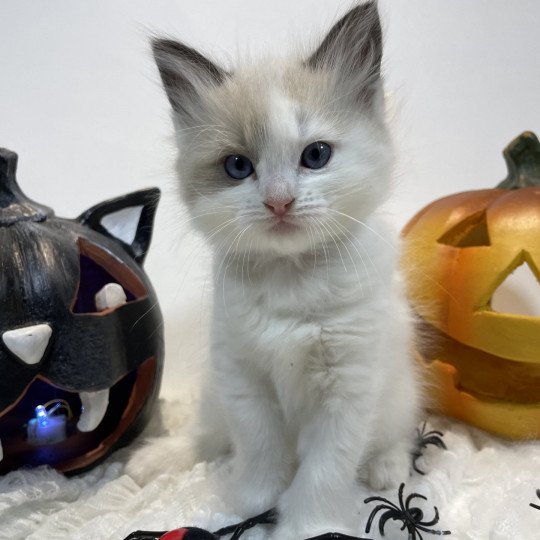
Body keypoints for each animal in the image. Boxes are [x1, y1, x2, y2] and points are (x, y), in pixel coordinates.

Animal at [133, 2, 420, 536]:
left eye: (316, 156)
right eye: (238, 167)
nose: (279, 202)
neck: (291, 278)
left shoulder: (349, 388)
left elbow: (323, 470)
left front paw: (306, 525)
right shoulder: (242, 375)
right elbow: (258, 445)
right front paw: (249, 500)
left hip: (399, 392)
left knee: (395, 435)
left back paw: (386, 469)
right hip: (214, 387)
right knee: (210, 434)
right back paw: (155, 460)